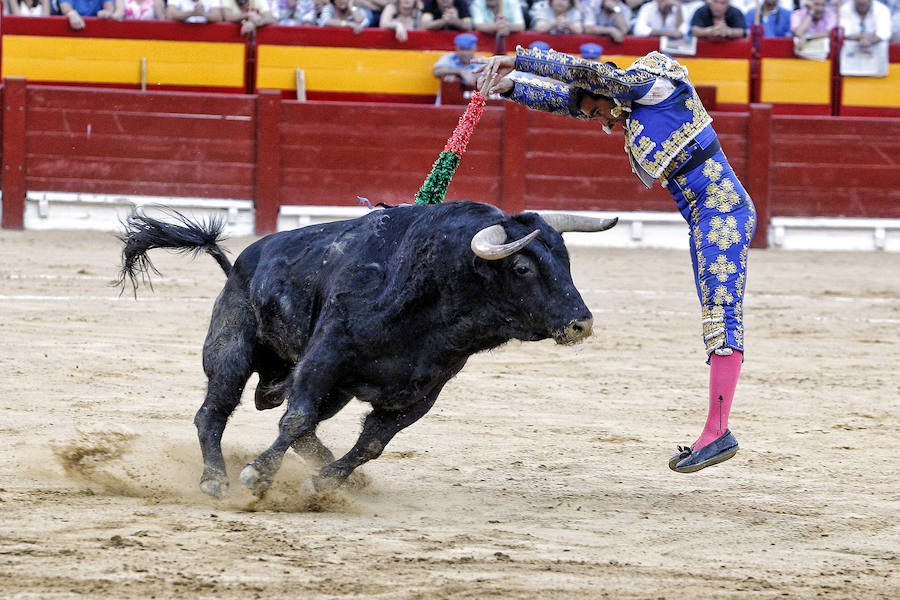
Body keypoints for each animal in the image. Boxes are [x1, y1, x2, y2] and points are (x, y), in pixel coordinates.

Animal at [118, 202, 612, 496]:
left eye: (566, 259)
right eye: (523, 267)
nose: (581, 323)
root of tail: (237, 262)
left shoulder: (420, 392)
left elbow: (370, 443)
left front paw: (323, 483)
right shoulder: (322, 361)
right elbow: (296, 420)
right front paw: (258, 474)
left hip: (329, 390)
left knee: (298, 423)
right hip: (231, 350)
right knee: (214, 413)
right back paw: (215, 480)